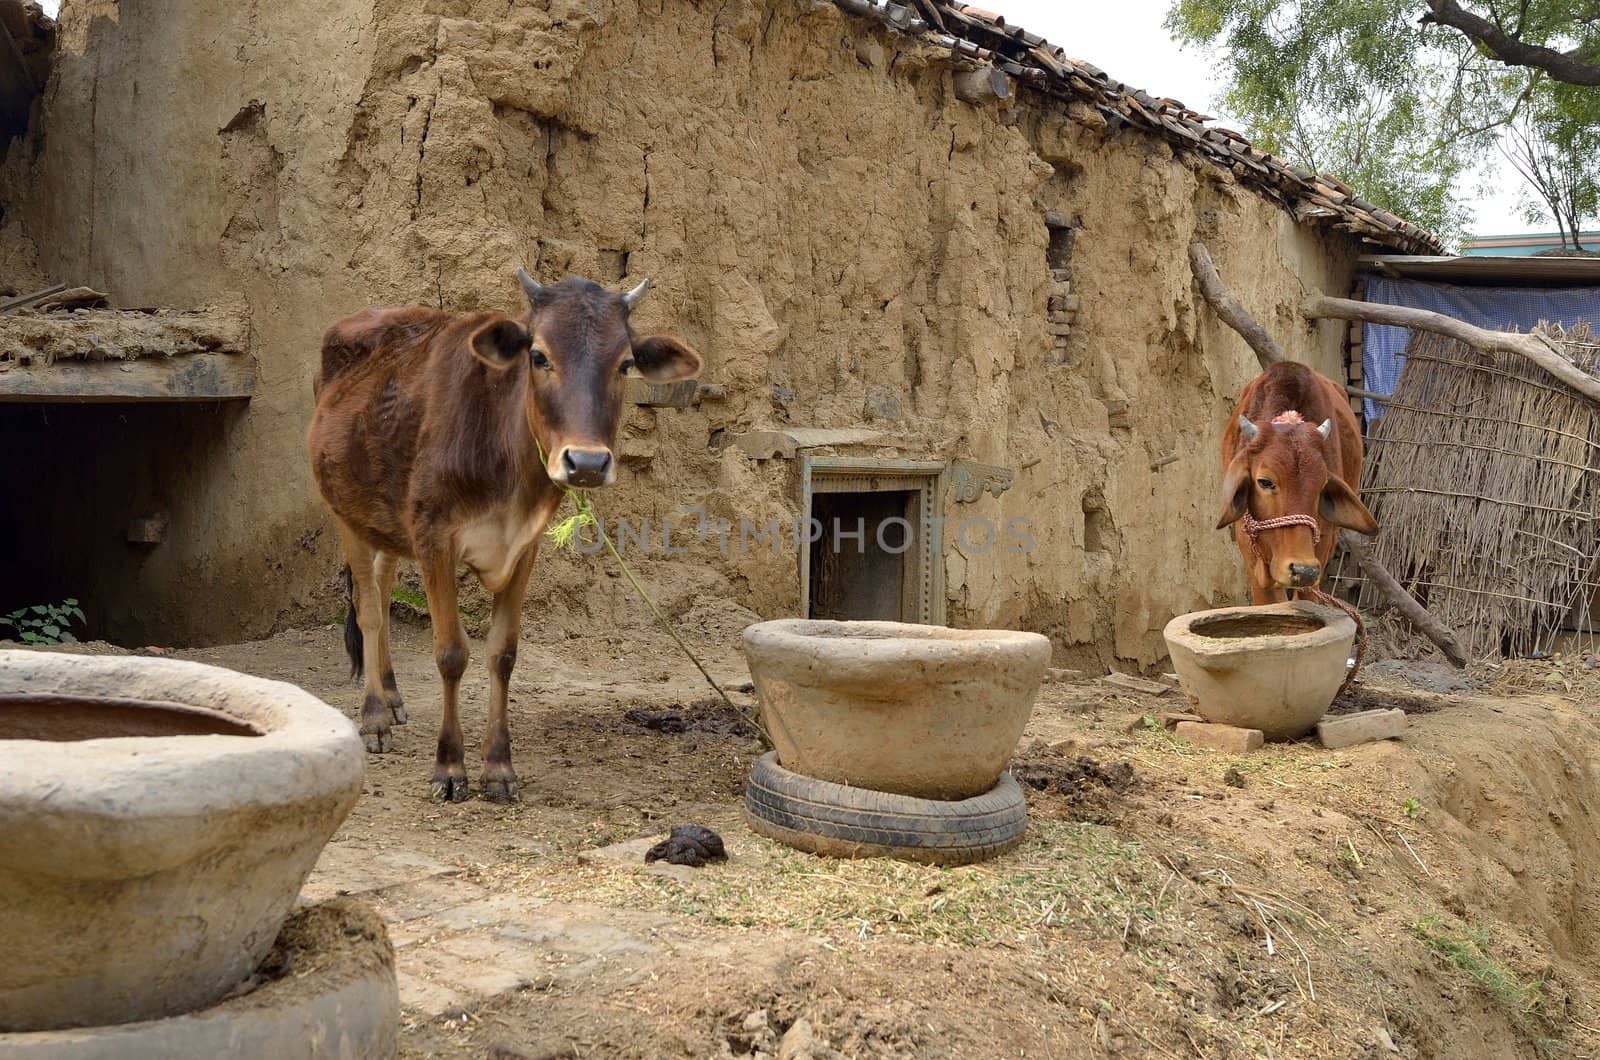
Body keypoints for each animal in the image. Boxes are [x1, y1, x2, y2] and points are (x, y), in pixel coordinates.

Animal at [308, 273, 704, 807]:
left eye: (625, 364)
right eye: (537, 355)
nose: (586, 462)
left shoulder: (524, 546)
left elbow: (503, 654)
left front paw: (498, 768)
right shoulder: (434, 538)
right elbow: (451, 653)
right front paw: (449, 768)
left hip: (387, 522)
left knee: (384, 589)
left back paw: (391, 696)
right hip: (344, 511)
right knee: (369, 608)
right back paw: (373, 718)